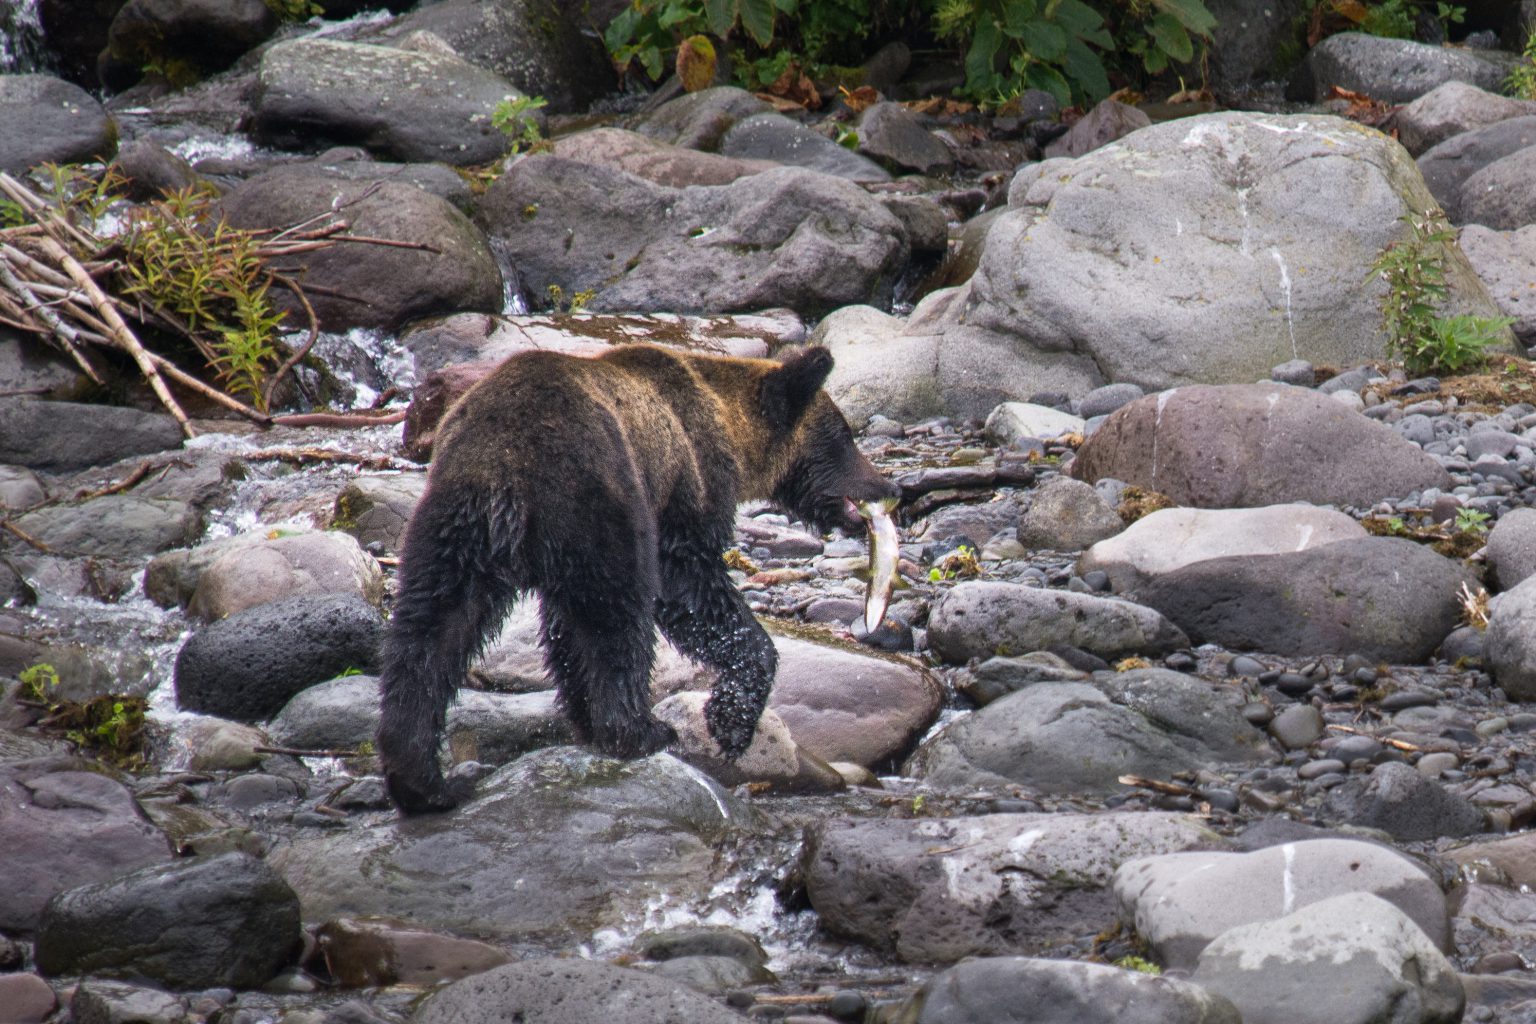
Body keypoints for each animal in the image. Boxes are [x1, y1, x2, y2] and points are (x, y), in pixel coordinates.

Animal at [374, 343, 897, 816]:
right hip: (597, 496)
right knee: (620, 616)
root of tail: (506, 465)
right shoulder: (684, 487)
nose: (889, 486)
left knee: (429, 631)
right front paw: (729, 720)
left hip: (452, 524)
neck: (727, 427)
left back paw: (421, 779)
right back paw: (640, 730)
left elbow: (563, 629)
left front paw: (582, 715)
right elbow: (690, 590)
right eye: (843, 437)